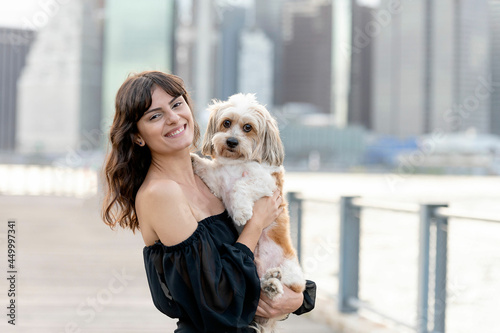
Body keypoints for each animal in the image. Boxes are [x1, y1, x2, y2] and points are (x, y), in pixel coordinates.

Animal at [191, 92, 306, 332]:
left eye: (247, 127)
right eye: (226, 123)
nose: (231, 141)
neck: (236, 163)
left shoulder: (265, 183)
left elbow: (240, 185)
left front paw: (242, 211)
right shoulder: (218, 182)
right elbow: (207, 168)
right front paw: (192, 157)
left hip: (291, 273)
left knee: (280, 289)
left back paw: (274, 284)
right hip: (254, 271)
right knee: (257, 287)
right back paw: (270, 281)